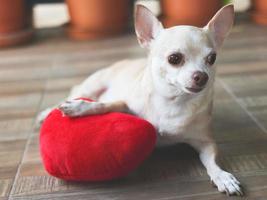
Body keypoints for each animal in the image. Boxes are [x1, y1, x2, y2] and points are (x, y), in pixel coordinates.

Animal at [38, 4, 245, 195]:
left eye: (212, 58)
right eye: (174, 58)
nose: (202, 76)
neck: (174, 101)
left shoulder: (206, 142)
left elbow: (213, 161)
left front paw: (223, 177)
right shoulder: (126, 103)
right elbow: (106, 104)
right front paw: (80, 108)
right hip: (93, 84)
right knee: (75, 93)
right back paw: (47, 112)